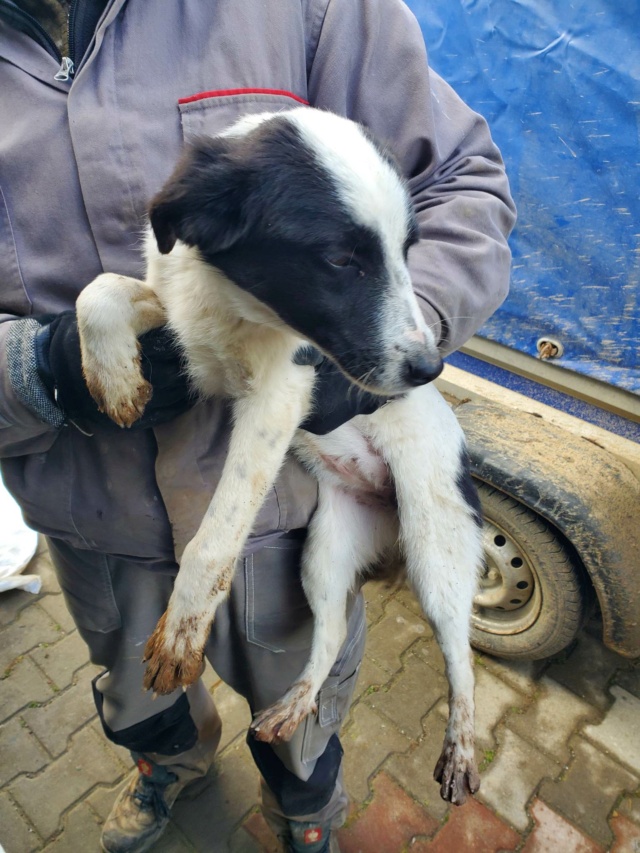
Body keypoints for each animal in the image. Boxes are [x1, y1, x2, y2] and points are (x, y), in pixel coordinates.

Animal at [77, 108, 482, 804]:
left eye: (407, 251)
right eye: (341, 259)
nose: (430, 369)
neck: (233, 303)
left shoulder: (279, 396)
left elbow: (215, 535)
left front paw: (183, 630)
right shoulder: (181, 326)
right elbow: (99, 289)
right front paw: (115, 376)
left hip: (438, 545)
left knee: (462, 655)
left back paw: (460, 746)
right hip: (324, 550)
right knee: (328, 636)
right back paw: (295, 705)